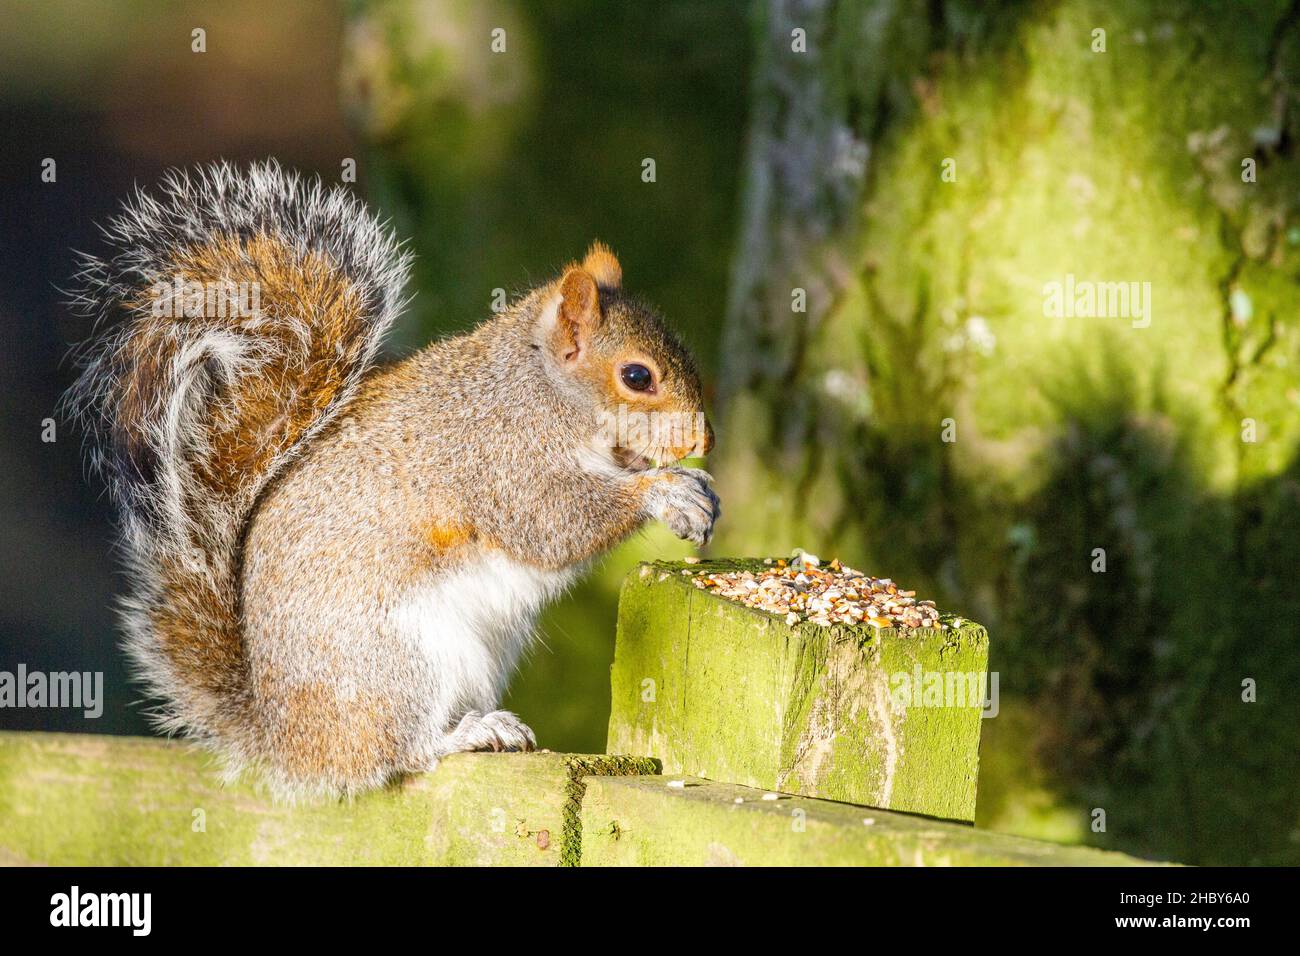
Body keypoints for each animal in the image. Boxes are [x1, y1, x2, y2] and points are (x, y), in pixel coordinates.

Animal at [66, 160, 720, 799]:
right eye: (636, 376)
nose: (703, 442)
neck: (542, 388)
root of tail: (286, 741)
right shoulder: (503, 458)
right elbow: (552, 525)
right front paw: (667, 492)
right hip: (402, 661)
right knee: (399, 750)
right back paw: (469, 733)